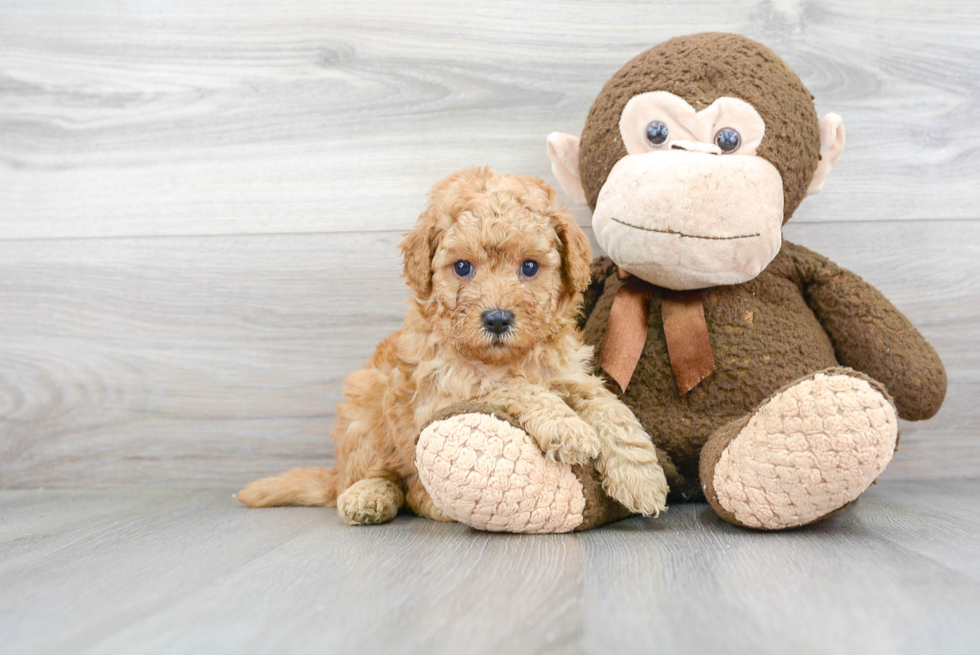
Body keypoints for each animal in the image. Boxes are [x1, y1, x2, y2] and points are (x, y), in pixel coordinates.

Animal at [234, 167, 668, 524]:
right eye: (462, 267)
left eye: (529, 267)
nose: (497, 319)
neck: (506, 358)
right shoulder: (447, 391)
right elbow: (516, 388)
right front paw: (568, 427)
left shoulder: (572, 376)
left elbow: (611, 410)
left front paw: (641, 478)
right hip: (366, 409)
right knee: (388, 481)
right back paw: (376, 497)